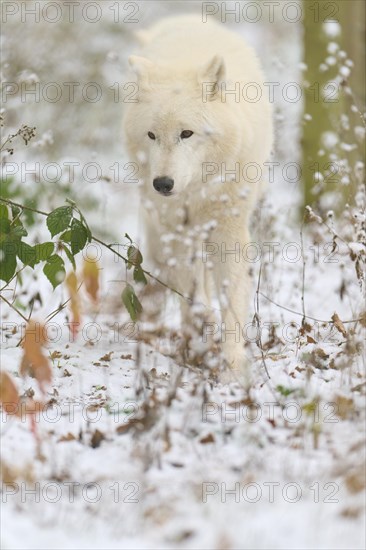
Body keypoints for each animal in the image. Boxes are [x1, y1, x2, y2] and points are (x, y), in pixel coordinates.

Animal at [122, 15, 272, 382]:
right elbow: (191, 291)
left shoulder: (229, 230)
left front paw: (232, 370)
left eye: (186, 133)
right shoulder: (177, 229)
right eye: (152, 135)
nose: (162, 184)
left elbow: (232, 299)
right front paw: (201, 333)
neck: (197, 190)